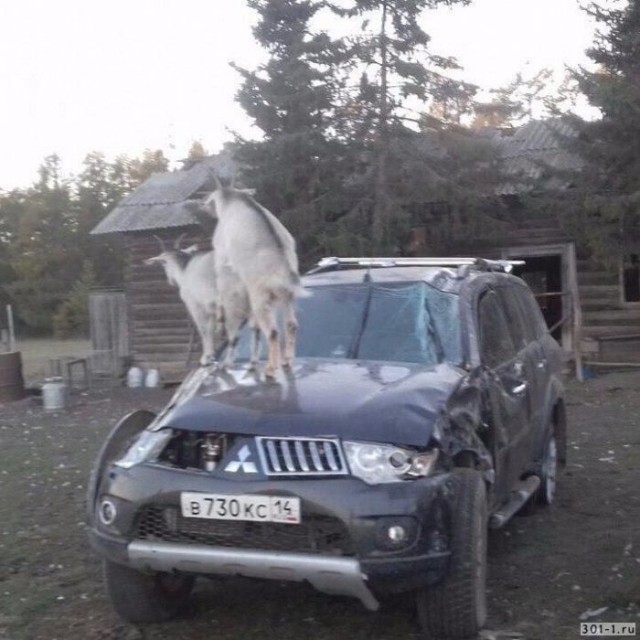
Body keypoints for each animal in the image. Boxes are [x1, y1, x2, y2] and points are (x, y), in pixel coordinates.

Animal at [144, 234, 220, 366]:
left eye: (163, 263)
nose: (171, 280)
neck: (184, 272)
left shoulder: (196, 304)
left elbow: (205, 328)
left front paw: (206, 357)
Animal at [201, 177, 305, 378]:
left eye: (210, 197)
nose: (204, 206)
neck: (233, 200)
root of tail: (282, 264)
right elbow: (254, 328)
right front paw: (252, 362)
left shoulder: (224, 264)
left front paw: (229, 363)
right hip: (286, 296)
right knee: (291, 325)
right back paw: (286, 361)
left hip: (261, 298)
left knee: (272, 331)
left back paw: (270, 369)